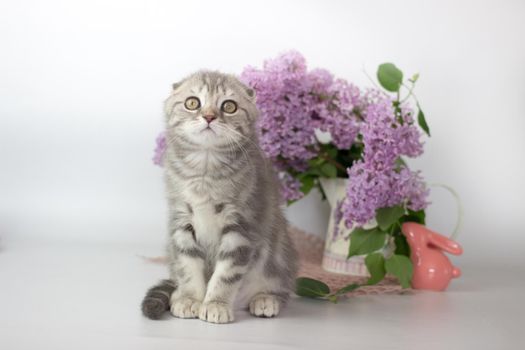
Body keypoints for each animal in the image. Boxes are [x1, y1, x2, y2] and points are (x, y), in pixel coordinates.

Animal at [141, 69, 296, 324]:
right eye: (192, 103)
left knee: (281, 286)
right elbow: (188, 266)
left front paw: (216, 303)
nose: (209, 116)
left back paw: (265, 299)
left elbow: (227, 273)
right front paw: (191, 299)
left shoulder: (241, 226)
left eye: (229, 106)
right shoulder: (182, 221)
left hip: (280, 254)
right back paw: (178, 294)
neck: (206, 169)